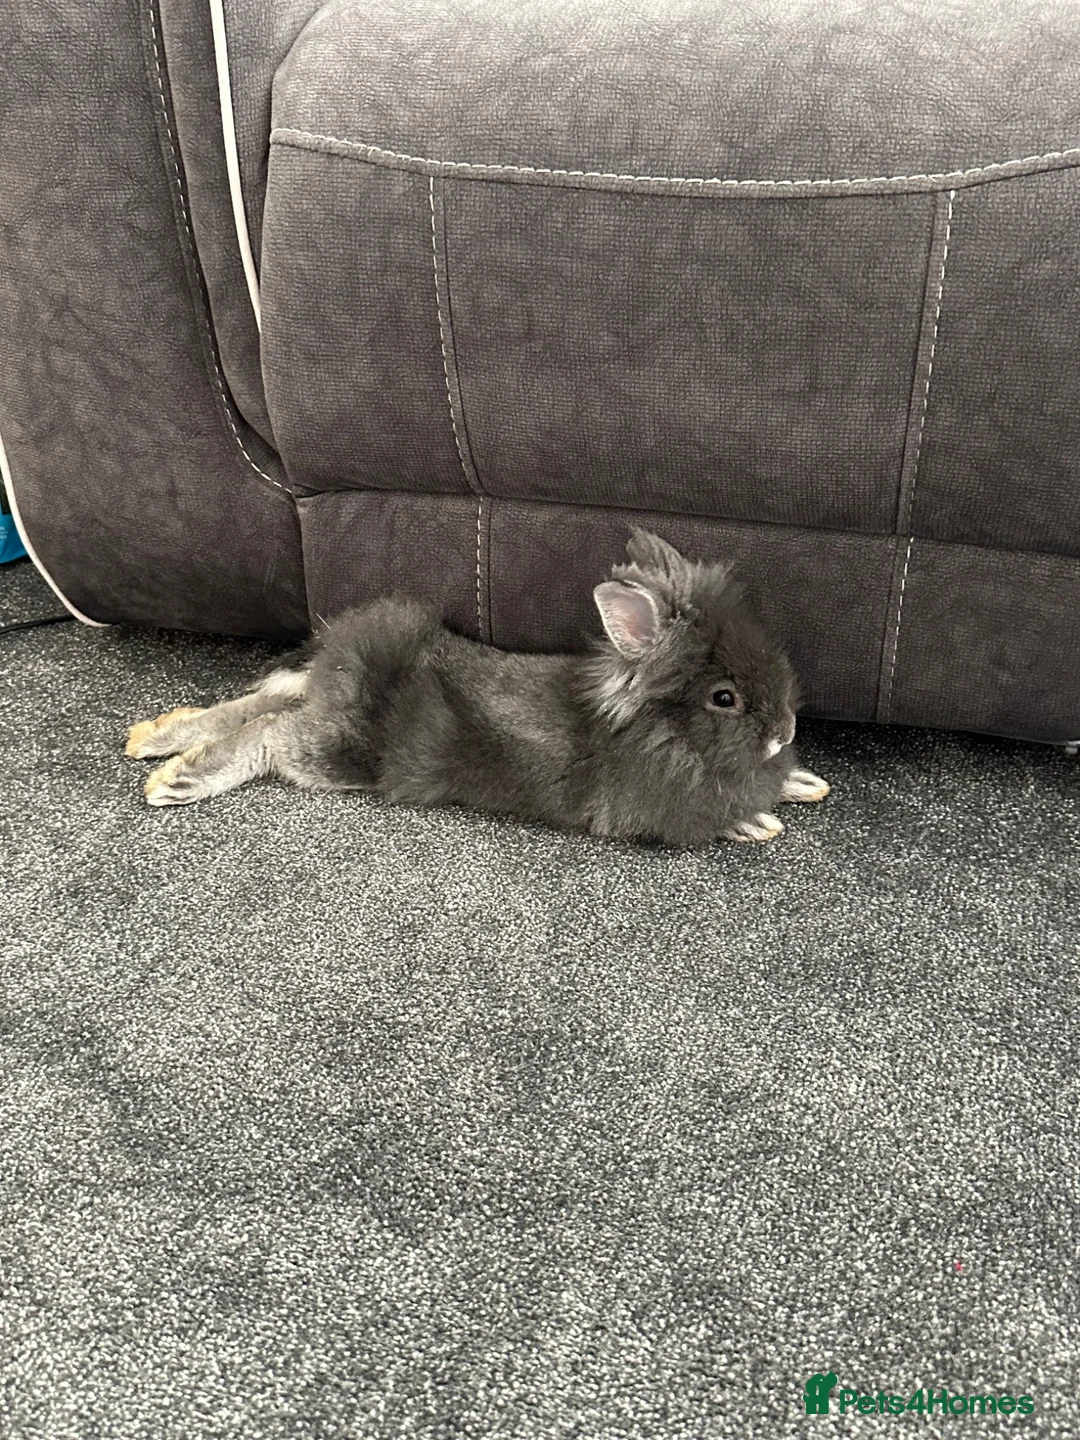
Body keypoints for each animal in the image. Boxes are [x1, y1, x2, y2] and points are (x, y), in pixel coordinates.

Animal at [125, 531, 829, 845]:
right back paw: (179, 777)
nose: (786, 732)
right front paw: (756, 822)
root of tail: (341, 659)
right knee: (270, 730)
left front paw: (802, 784)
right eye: (724, 698)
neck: (664, 734)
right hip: (339, 752)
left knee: (265, 699)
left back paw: (154, 736)